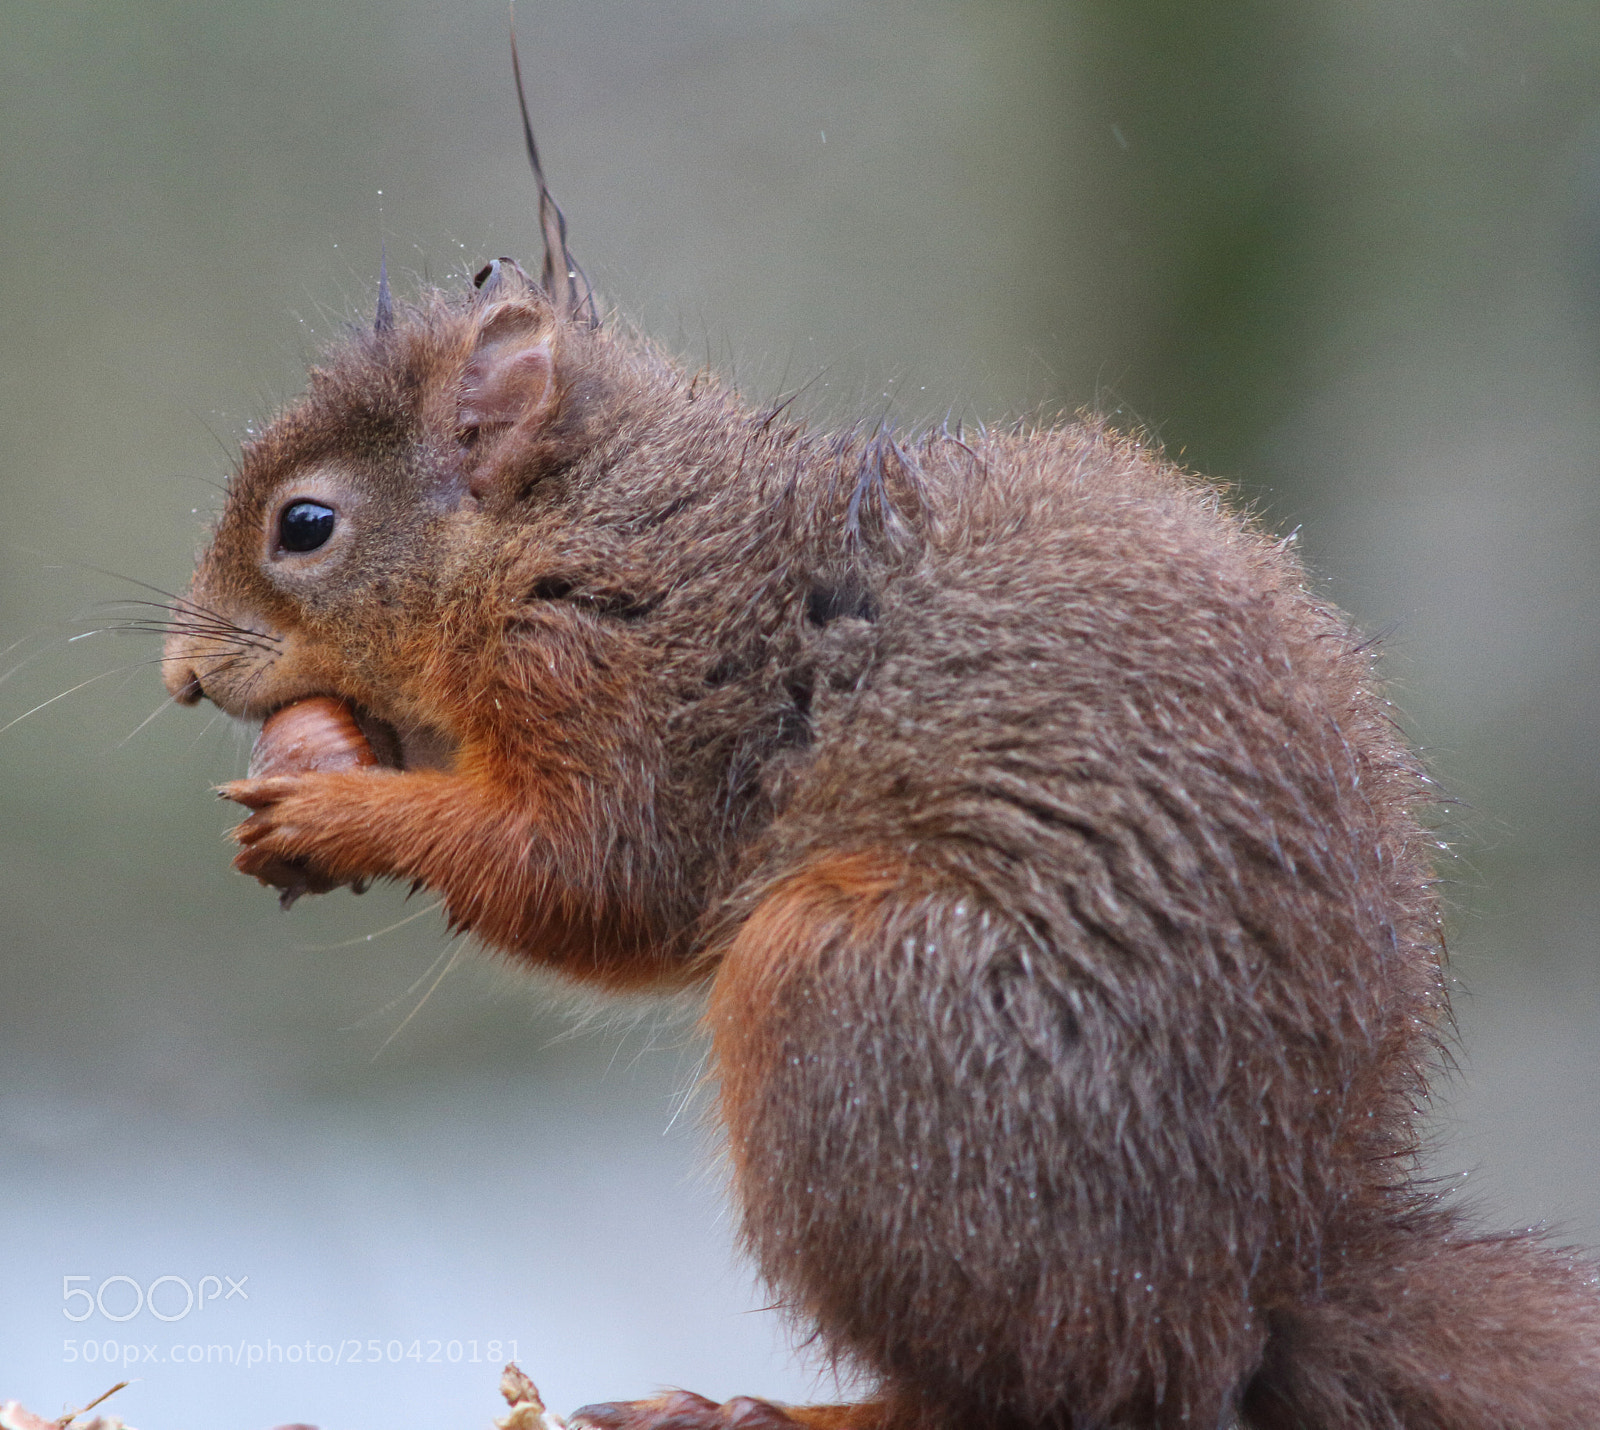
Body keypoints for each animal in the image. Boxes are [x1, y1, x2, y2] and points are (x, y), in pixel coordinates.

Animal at [160, 106, 1600, 1430]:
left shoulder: (639, 693)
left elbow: (594, 875)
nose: (178, 672)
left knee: (1027, 1390)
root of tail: (1259, 1284)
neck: (590, 521)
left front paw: (336, 811)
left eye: (305, 525)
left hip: (848, 1010)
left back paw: (757, 1410)